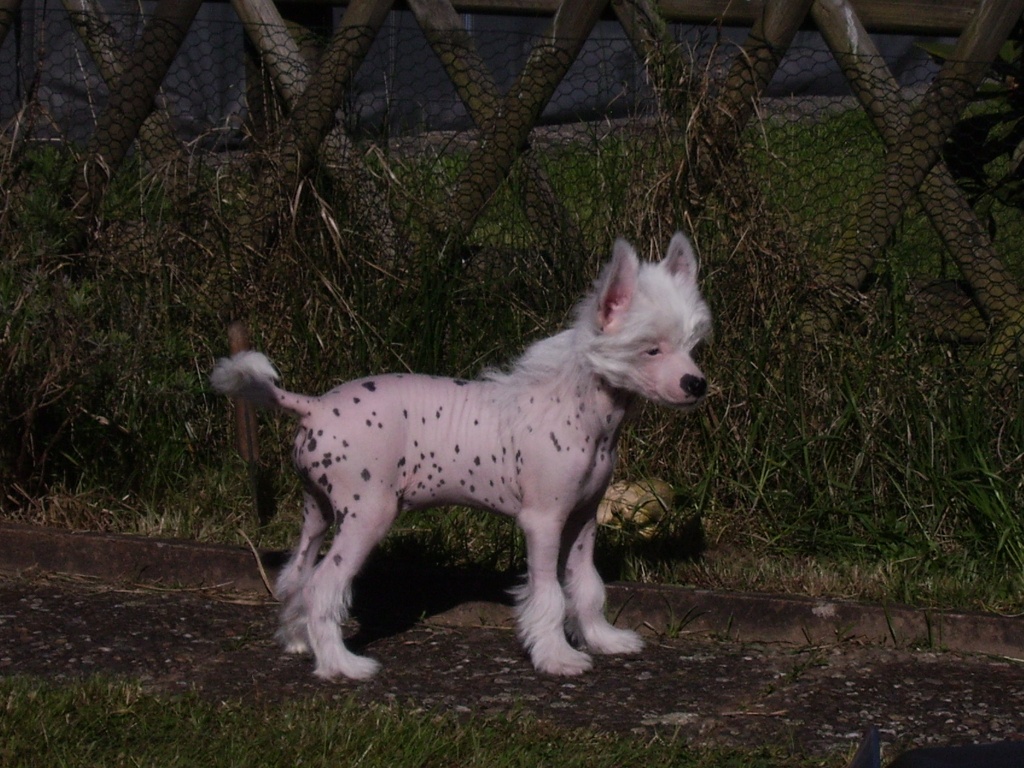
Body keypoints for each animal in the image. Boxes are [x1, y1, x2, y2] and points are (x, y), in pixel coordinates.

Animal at [209, 233, 712, 679]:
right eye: (651, 349)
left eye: (692, 346)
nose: (696, 384)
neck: (578, 405)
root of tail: (310, 405)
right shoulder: (544, 522)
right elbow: (548, 593)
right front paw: (556, 657)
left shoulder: (582, 519)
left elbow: (586, 586)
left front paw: (601, 639)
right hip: (367, 515)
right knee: (322, 587)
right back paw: (340, 666)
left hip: (317, 511)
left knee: (296, 575)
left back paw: (299, 642)